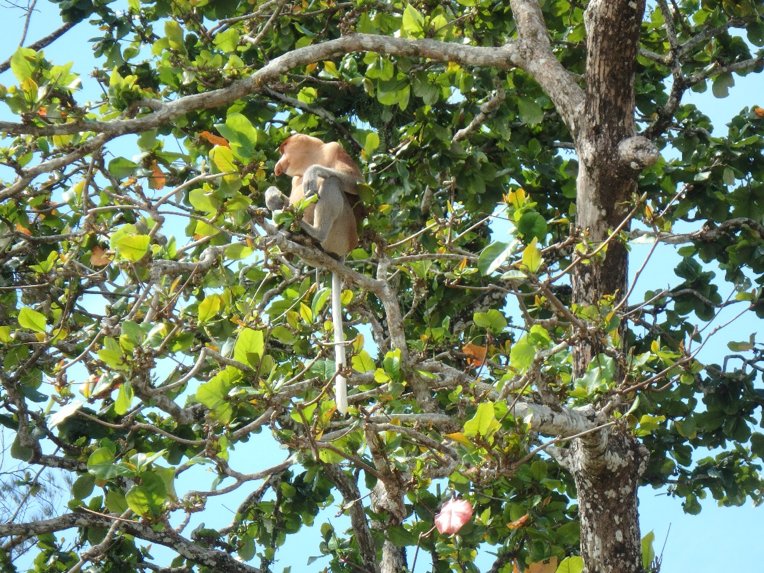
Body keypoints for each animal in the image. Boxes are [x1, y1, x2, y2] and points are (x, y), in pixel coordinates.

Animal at [264, 134, 362, 414]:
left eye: (283, 149)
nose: (278, 165)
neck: (314, 155)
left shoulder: (336, 150)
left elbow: (355, 182)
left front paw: (310, 175)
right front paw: (273, 196)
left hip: (341, 234)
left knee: (331, 183)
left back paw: (312, 233)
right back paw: (290, 232)